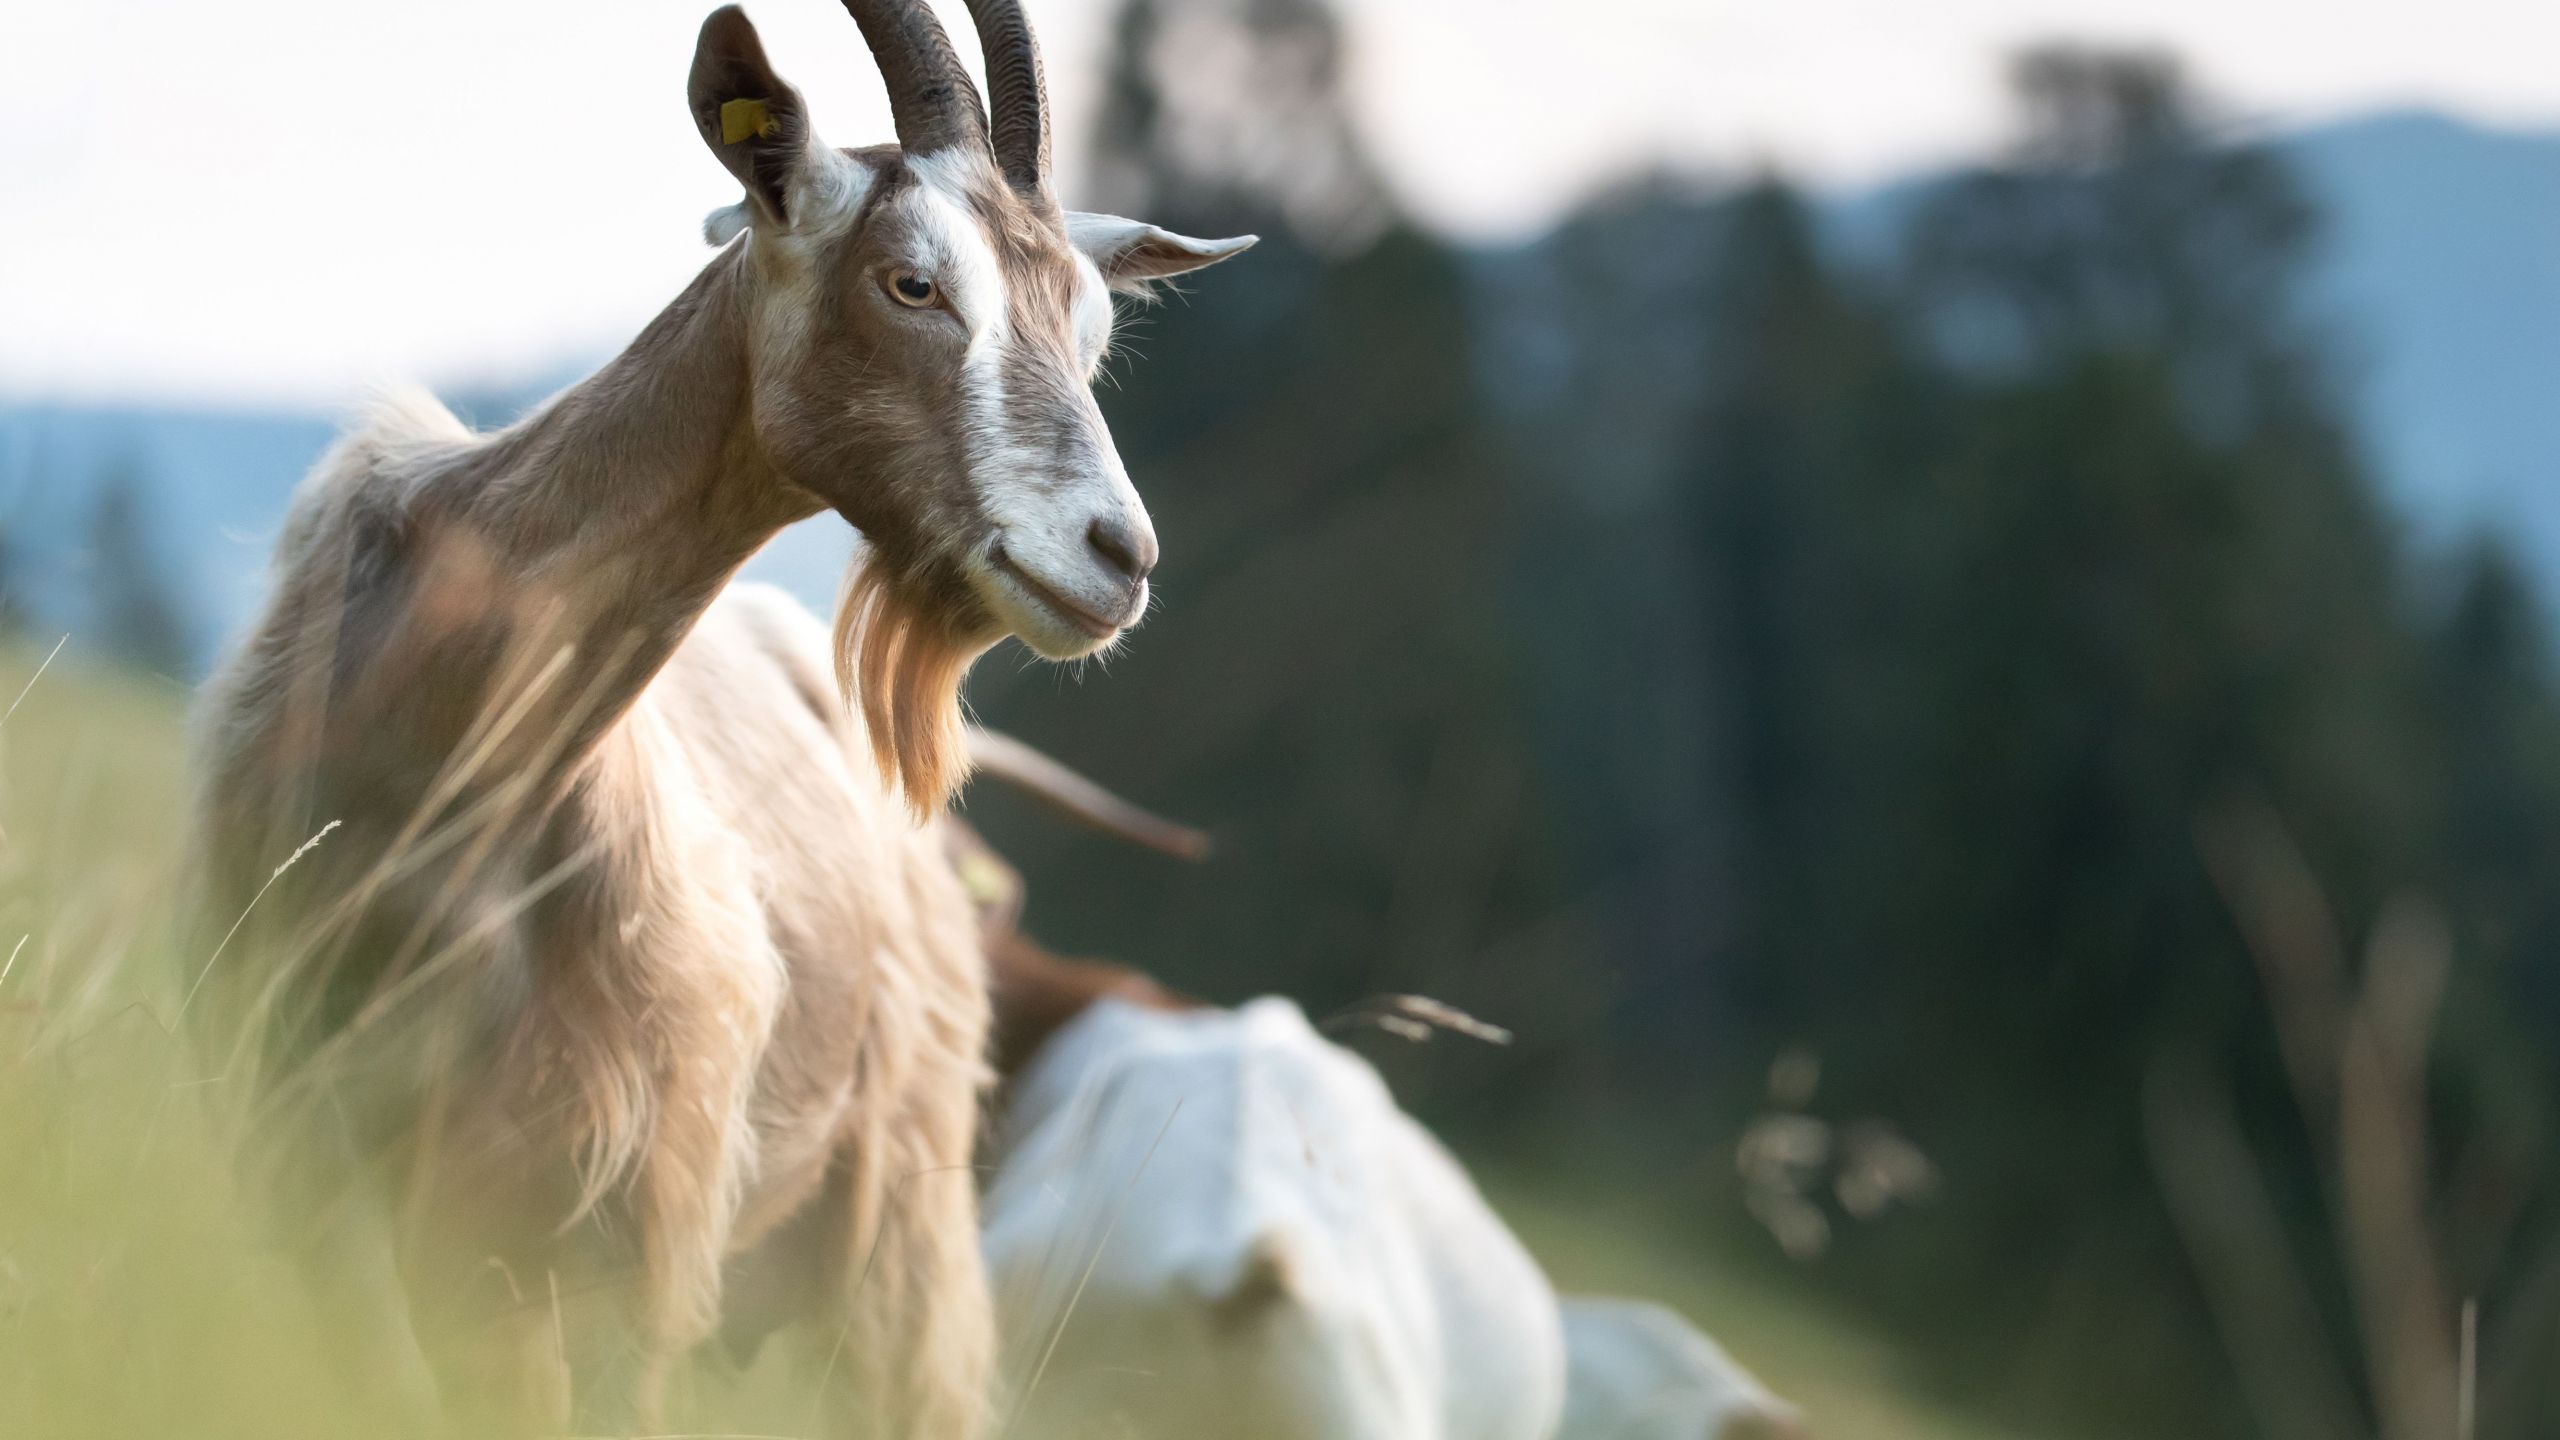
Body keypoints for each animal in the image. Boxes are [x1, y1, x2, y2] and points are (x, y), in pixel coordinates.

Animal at [189, 2, 1249, 1424]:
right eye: (912, 283)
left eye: (1090, 335)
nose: (1116, 557)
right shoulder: (308, 1170)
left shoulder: (624, 1235)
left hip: (898, 1231)